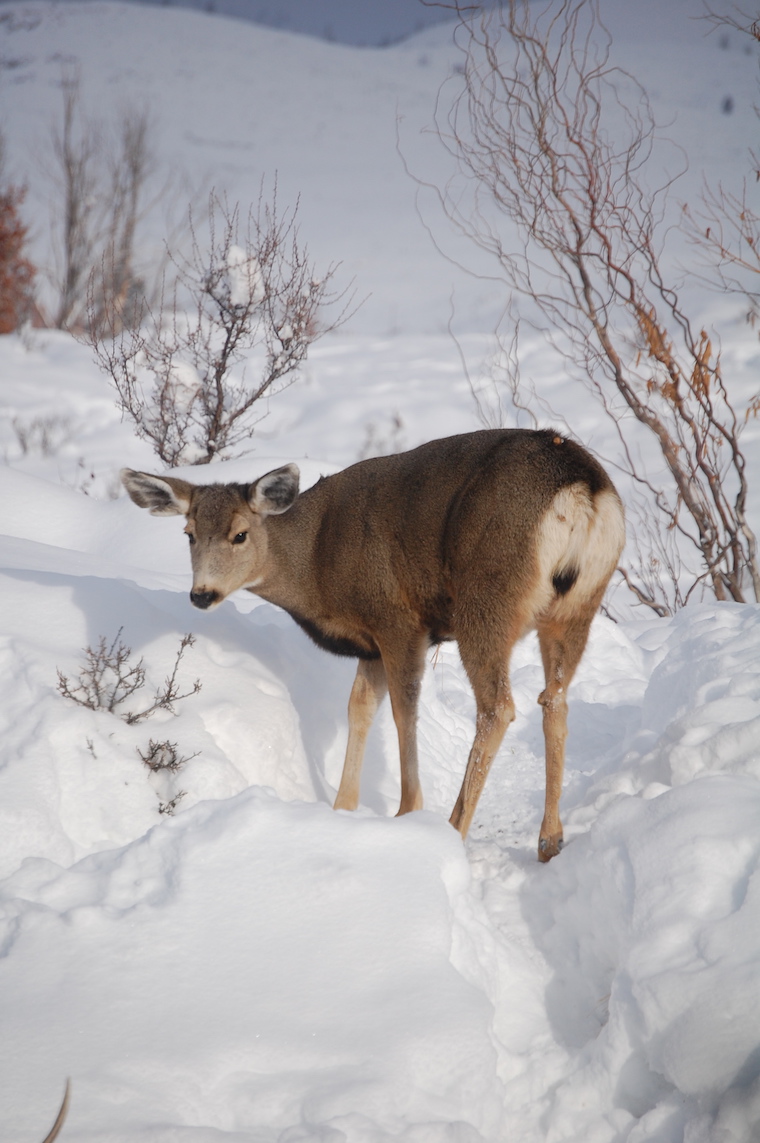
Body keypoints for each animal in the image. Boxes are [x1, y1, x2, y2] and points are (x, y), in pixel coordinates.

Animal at [122, 428, 624, 860]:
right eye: (188, 534)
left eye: (239, 534)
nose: (201, 594)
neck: (316, 563)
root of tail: (581, 488)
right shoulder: (370, 644)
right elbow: (359, 708)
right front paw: (343, 808)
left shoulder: (396, 619)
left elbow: (403, 712)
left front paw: (406, 810)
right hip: (578, 606)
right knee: (554, 699)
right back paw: (549, 839)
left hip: (487, 597)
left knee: (498, 706)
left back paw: (452, 828)